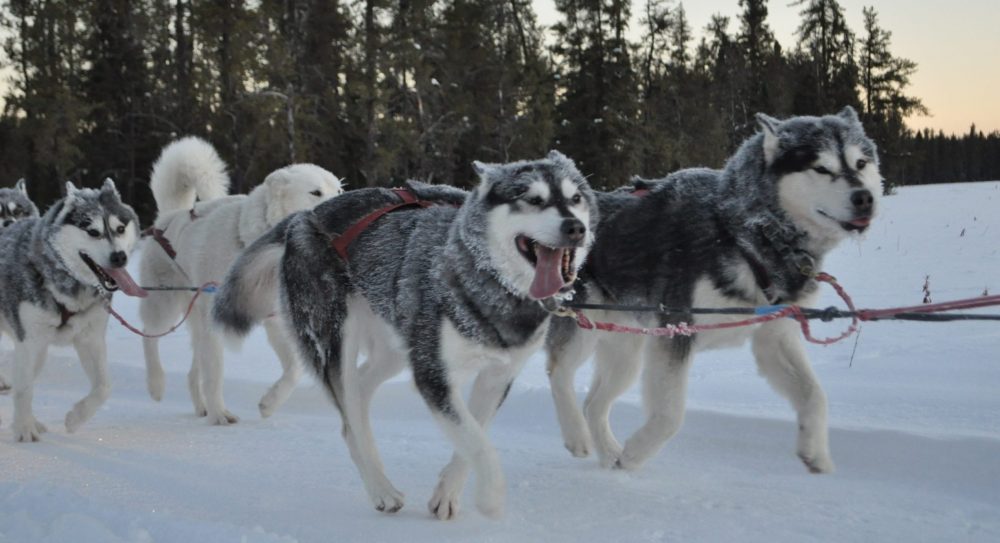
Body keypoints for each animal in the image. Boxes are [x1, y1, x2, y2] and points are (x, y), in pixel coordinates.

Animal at [141, 136, 344, 424]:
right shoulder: (215, 321)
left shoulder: (275, 321)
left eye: (338, 190)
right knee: (150, 336)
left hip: (196, 321)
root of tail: (170, 215)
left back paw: (201, 406)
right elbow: (215, 373)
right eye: (315, 192)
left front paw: (269, 404)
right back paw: (156, 384)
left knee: (194, 370)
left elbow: (294, 369)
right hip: (164, 302)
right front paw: (220, 416)